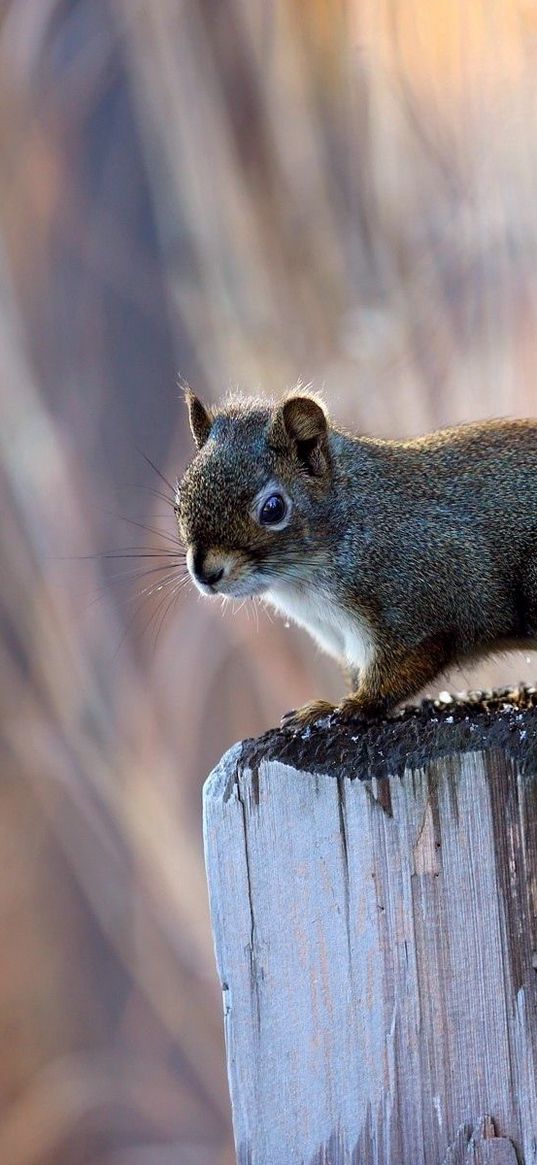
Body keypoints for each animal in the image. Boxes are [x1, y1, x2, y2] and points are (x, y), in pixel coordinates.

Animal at [174, 386, 535, 722]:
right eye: (179, 502)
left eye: (273, 509)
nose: (205, 573)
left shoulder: (429, 597)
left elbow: (404, 667)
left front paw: (348, 706)